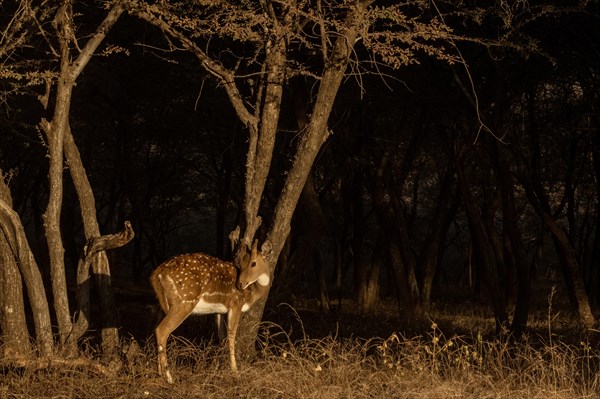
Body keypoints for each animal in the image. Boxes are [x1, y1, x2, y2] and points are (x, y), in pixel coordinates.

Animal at [150, 241, 272, 384]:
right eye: (241, 263)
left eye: (253, 263)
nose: (240, 284)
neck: (251, 293)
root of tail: (158, 273)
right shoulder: (236, 304)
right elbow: (232, 336)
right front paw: (235, 372)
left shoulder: (220, 311)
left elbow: (222, 337)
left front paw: (218, 368)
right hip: (184, 301)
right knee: (162, 330)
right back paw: (169, 377)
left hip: (164, 304)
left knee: (156, 328)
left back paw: (159, 373)